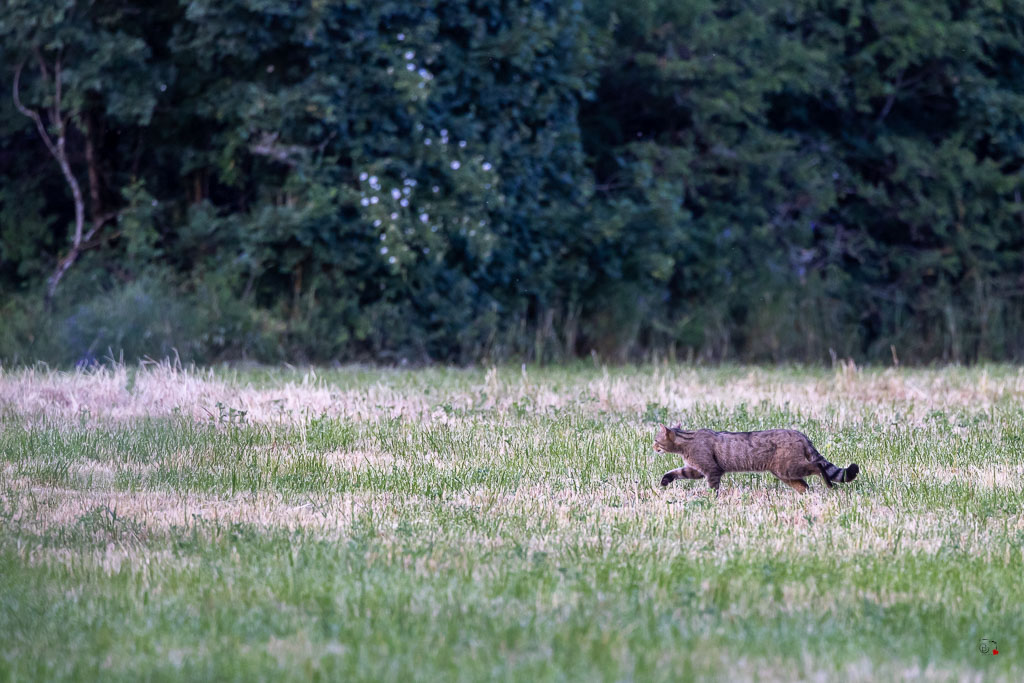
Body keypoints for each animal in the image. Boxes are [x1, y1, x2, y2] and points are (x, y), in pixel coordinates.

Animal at [651, 423, 860, 493]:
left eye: (655, 439)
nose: (652, 446)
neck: (686, 442)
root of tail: (800, 434)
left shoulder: (711, 470)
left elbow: (713, 489)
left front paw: (711, 501)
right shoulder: (695, 470)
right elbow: (676, 472)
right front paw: (665, 480)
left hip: (789, 467)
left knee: (817, 466)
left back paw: (828, 484)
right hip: (785, 473)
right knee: (804, 485)